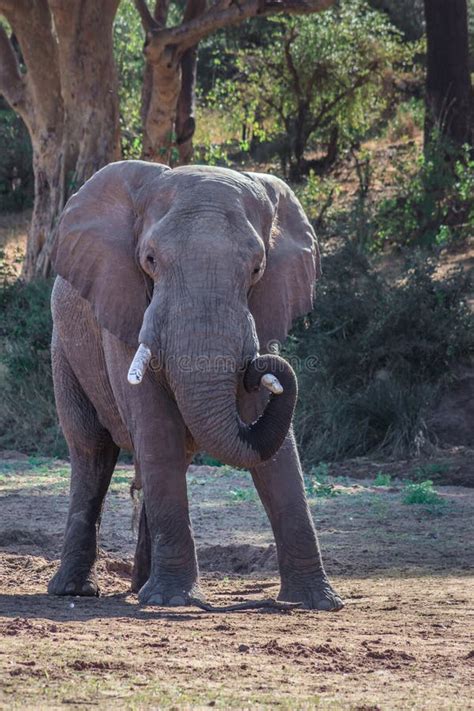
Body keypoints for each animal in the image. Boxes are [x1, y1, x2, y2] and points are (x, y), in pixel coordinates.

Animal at [48, 161, 342, 612]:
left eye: (257, 269)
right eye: (149, 260)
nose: (263, 367)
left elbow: (276, 452)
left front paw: (317, 602)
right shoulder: (123, 305)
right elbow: (155, 426)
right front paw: (174, 601)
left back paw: (141, 587)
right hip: (64, 348)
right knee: (92, 451)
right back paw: (77, 591)